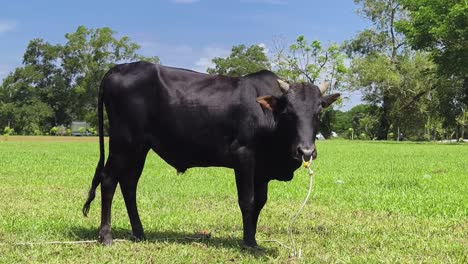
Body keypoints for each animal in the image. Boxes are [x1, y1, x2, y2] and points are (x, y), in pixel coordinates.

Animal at [82, 62, 340, 248]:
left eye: (319, 111)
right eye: (288, 111)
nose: (305, 151)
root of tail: (116, 69)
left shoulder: (262, 171)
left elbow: (260, 202)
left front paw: (253, 238)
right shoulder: (244, 157)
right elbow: (247, 201)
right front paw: (248, 243)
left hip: (139, 148)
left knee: (129, 184)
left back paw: (139, 232)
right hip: (123, 144)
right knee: (108, 180)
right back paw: (106, 236)